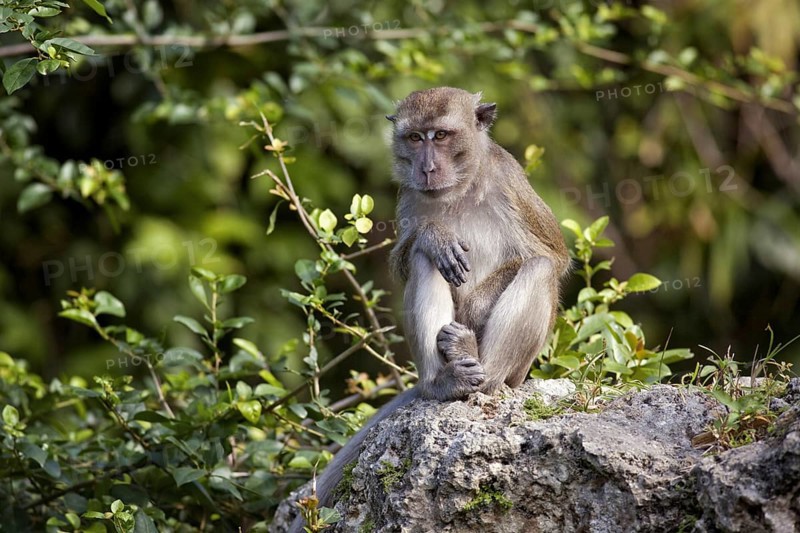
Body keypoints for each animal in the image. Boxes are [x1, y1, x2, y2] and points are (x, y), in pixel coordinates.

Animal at [286, 87, 568, 532]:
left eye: (441, 135)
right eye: (416, 138)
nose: (427, 167)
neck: (460, 188)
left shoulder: (510, 182)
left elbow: (552, 256)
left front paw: (476, 306)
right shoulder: (409, 197)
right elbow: (408, 258)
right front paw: (434, 235)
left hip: (519, 374)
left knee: (538, 270)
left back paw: (481, 372)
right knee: (424, 261)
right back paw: (445, 381)